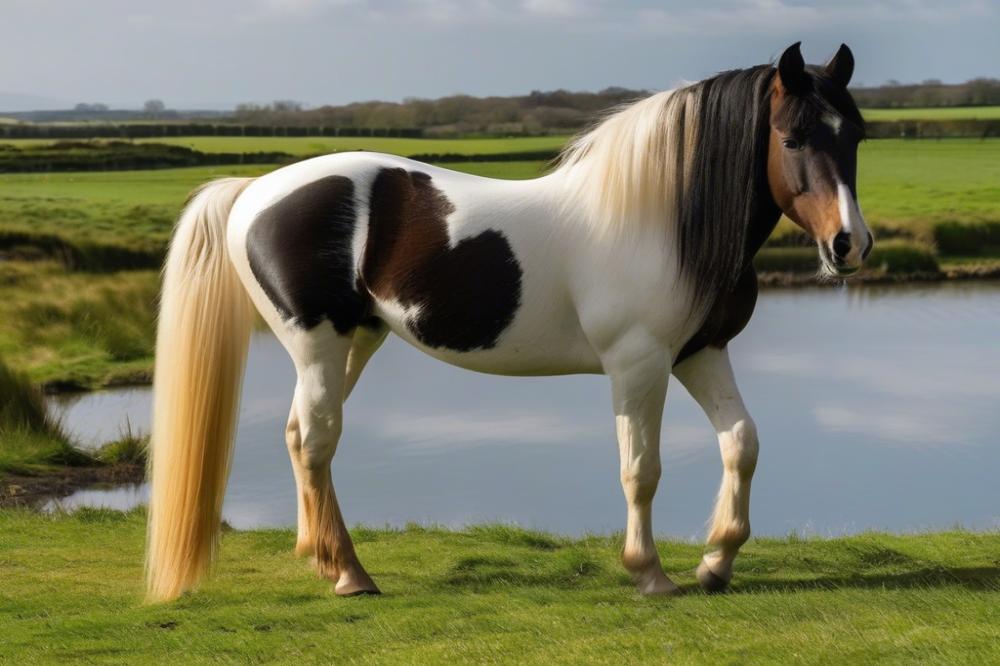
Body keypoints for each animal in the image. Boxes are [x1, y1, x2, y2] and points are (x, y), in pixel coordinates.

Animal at [145, 44, 872, 600]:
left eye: (856, 135)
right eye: (792, 137)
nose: (850, 245)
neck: (661, 220)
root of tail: (255, 190)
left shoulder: (701, 351)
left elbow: (741, 444)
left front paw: (717, 562)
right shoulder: (637, 365)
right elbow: (641, 468)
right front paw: (651, 574)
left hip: (353, 344)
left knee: (301, 439)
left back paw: (324, 559)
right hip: (317, 346)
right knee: (318, 441)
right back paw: (351, 574)